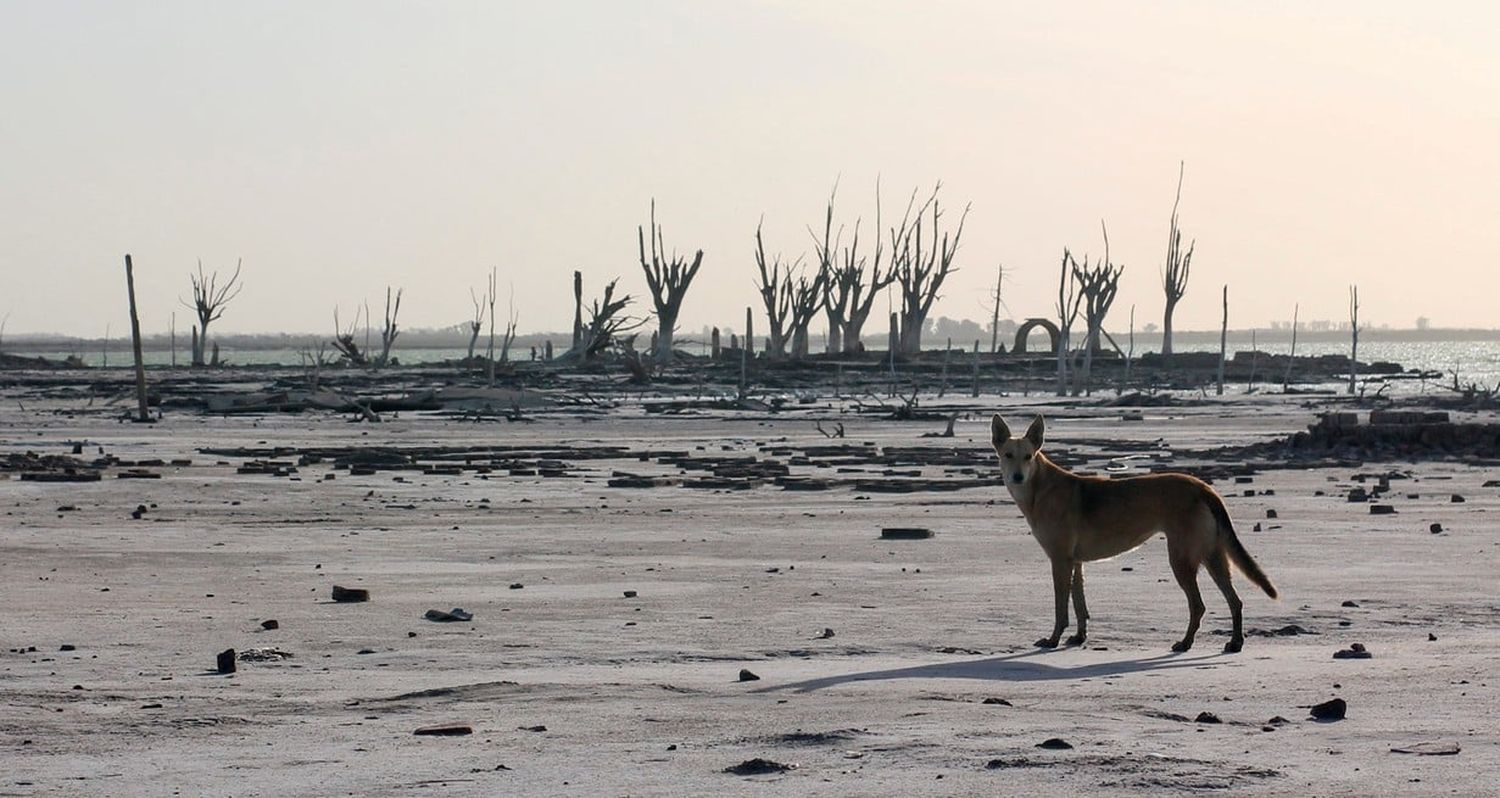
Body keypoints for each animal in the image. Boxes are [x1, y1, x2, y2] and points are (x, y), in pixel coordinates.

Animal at [996, 414, 1278, 651]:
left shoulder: (1060, 560)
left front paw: (1053, 639)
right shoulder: (1075, 562)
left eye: (1028, 456)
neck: (1040, 489)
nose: (1017, 477)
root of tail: (1204, 488)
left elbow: (1061, 609)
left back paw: (1186, 642)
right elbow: (1079, 604)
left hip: (1181, 559)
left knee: (1198, 606)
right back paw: (1235, 642)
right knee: (1235, 601)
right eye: (1008, 455)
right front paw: (1079, 637)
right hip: (1214, 557)